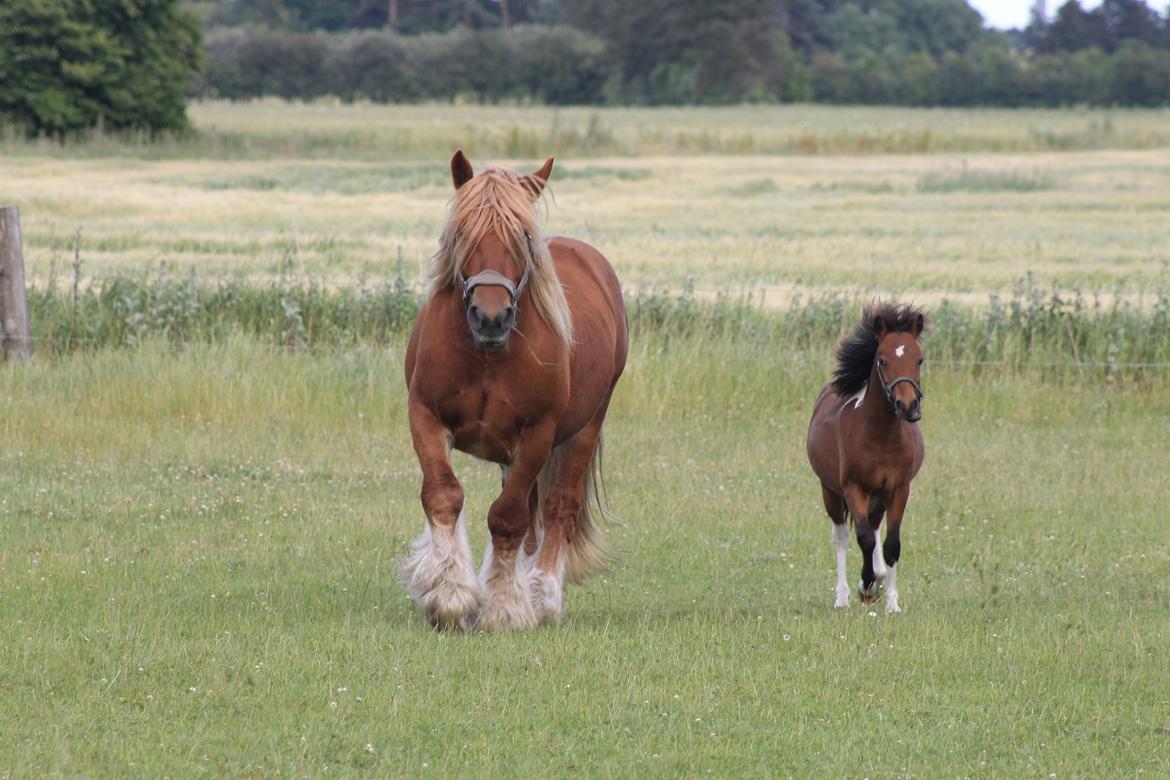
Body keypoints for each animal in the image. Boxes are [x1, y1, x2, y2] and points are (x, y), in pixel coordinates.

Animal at [402, 149, 627, 631]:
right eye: (463, 231)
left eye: (523, 236)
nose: (492, 316)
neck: (487, 356)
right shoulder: (425, 415)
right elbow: (443, 494)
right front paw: (449, 594)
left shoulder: (538, 434)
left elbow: (507, 517)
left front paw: (504, 607)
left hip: (584, 429)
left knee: (558, 507)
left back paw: (541, 595)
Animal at [804, 301, 921, 612]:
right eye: (882, 360)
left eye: (919, 360)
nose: (908, 406)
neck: (882, 437)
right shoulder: (853, 488)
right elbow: (864, 539)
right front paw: (866, 586)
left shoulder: (899, 489)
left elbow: (891, 544)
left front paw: (891, 602)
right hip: (830, 491)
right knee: (842, 537)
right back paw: (843, 597)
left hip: (878, 496)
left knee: (876, 527)